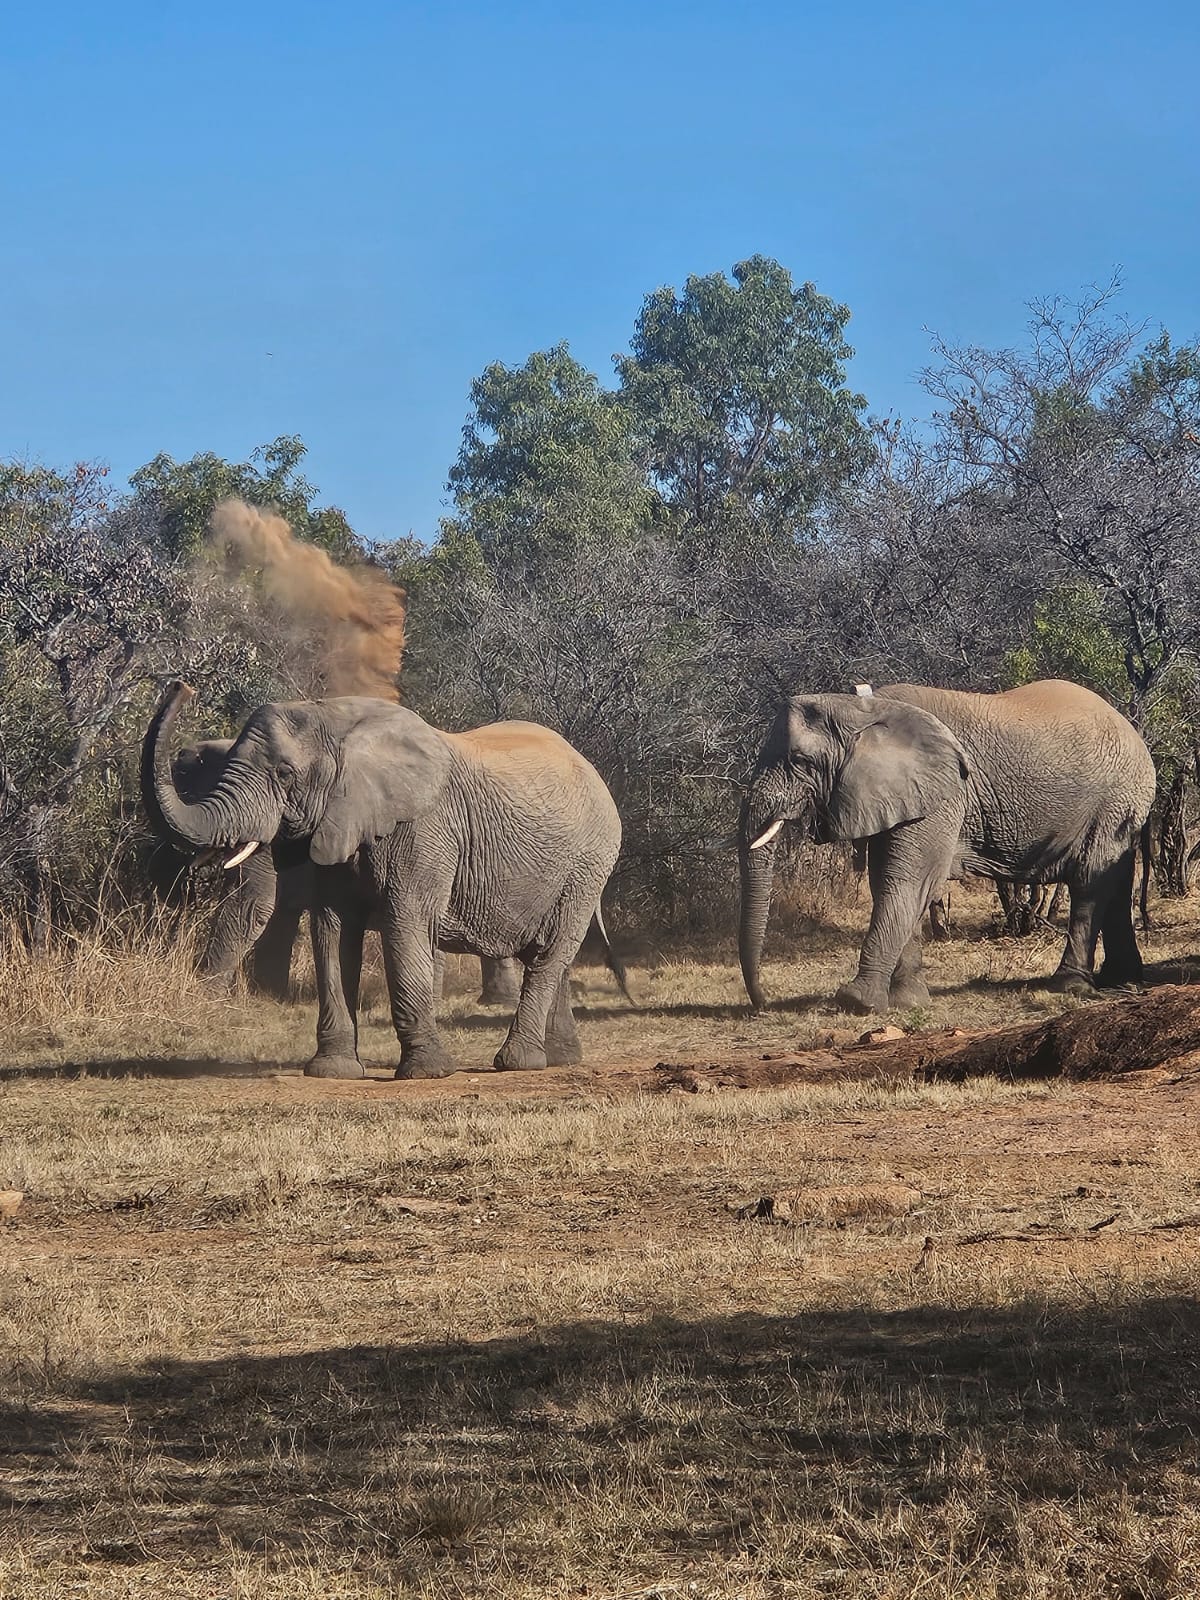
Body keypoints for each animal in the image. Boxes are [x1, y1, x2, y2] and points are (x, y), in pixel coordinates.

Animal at [150, 738, 523, 1006]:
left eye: (187, 784)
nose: (191, 870)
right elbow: (278, 914)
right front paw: (269, 998)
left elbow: (253, 906)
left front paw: (204, 996)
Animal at [739, 679, 1156, 1015]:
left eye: (800, 761)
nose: (762, 1006)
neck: (861, 709)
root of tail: (1135, 734)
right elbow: (888, 881)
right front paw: (908, 1003)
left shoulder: (946, 791)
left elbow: (908, 880)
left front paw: (856, 1002)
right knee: (1116, 883)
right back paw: (1123, 981)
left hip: (1114, 799)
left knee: (1090, 882)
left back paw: (1069, 986)